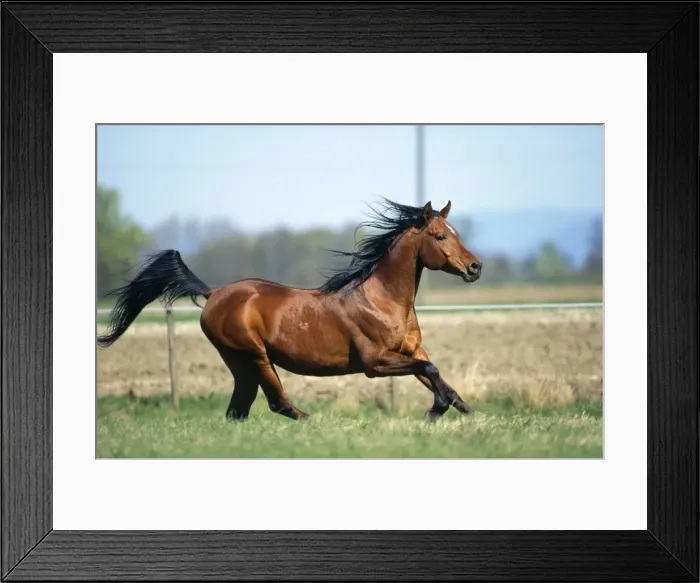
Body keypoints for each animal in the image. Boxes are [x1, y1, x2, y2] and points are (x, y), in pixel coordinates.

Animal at [98, 199, 483, 422]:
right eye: (440, 236)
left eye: (456, 232)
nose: (475, 267)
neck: (382, 300)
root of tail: (213, 293)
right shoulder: (375, 363)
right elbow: (432, 371)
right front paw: (436, 411)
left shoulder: (411, 351)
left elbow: (435, 373)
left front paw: (466, 412)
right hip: (253, 355)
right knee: (275, 403)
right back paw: (315, 422)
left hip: (241, 363)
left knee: (239, 408)